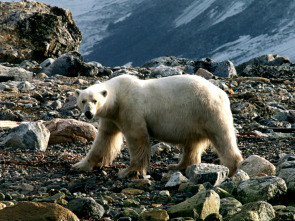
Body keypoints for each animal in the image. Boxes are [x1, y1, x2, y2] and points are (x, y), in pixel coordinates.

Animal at [73, 74, 243, 178]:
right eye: (83, 101)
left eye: (95, 100)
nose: (89, 113)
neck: (118, 96)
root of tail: (221, 93)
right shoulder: (112, 117)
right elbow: (104, 139)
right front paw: (80, 165)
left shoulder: (131, 108)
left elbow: (137, 137)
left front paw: (127, 171)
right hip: (194, 119)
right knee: (192, 144)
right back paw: (177, 166)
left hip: (207, 110)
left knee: (222, 137)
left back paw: (231, 169)